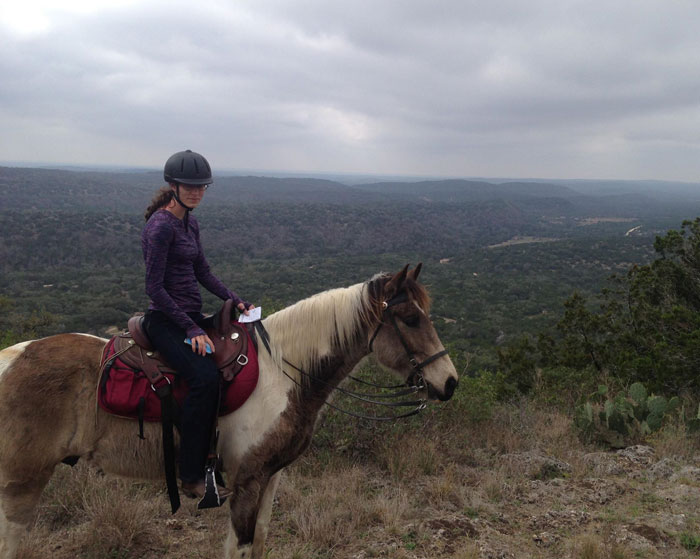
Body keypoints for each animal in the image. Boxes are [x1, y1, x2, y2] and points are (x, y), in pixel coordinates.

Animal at [0, 264, 460, 559]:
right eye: (409, 318)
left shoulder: (271, 478)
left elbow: (259, 542)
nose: (450, 382)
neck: (282, 373)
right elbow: (239, 546)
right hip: (21, 484)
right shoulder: (246, 481)